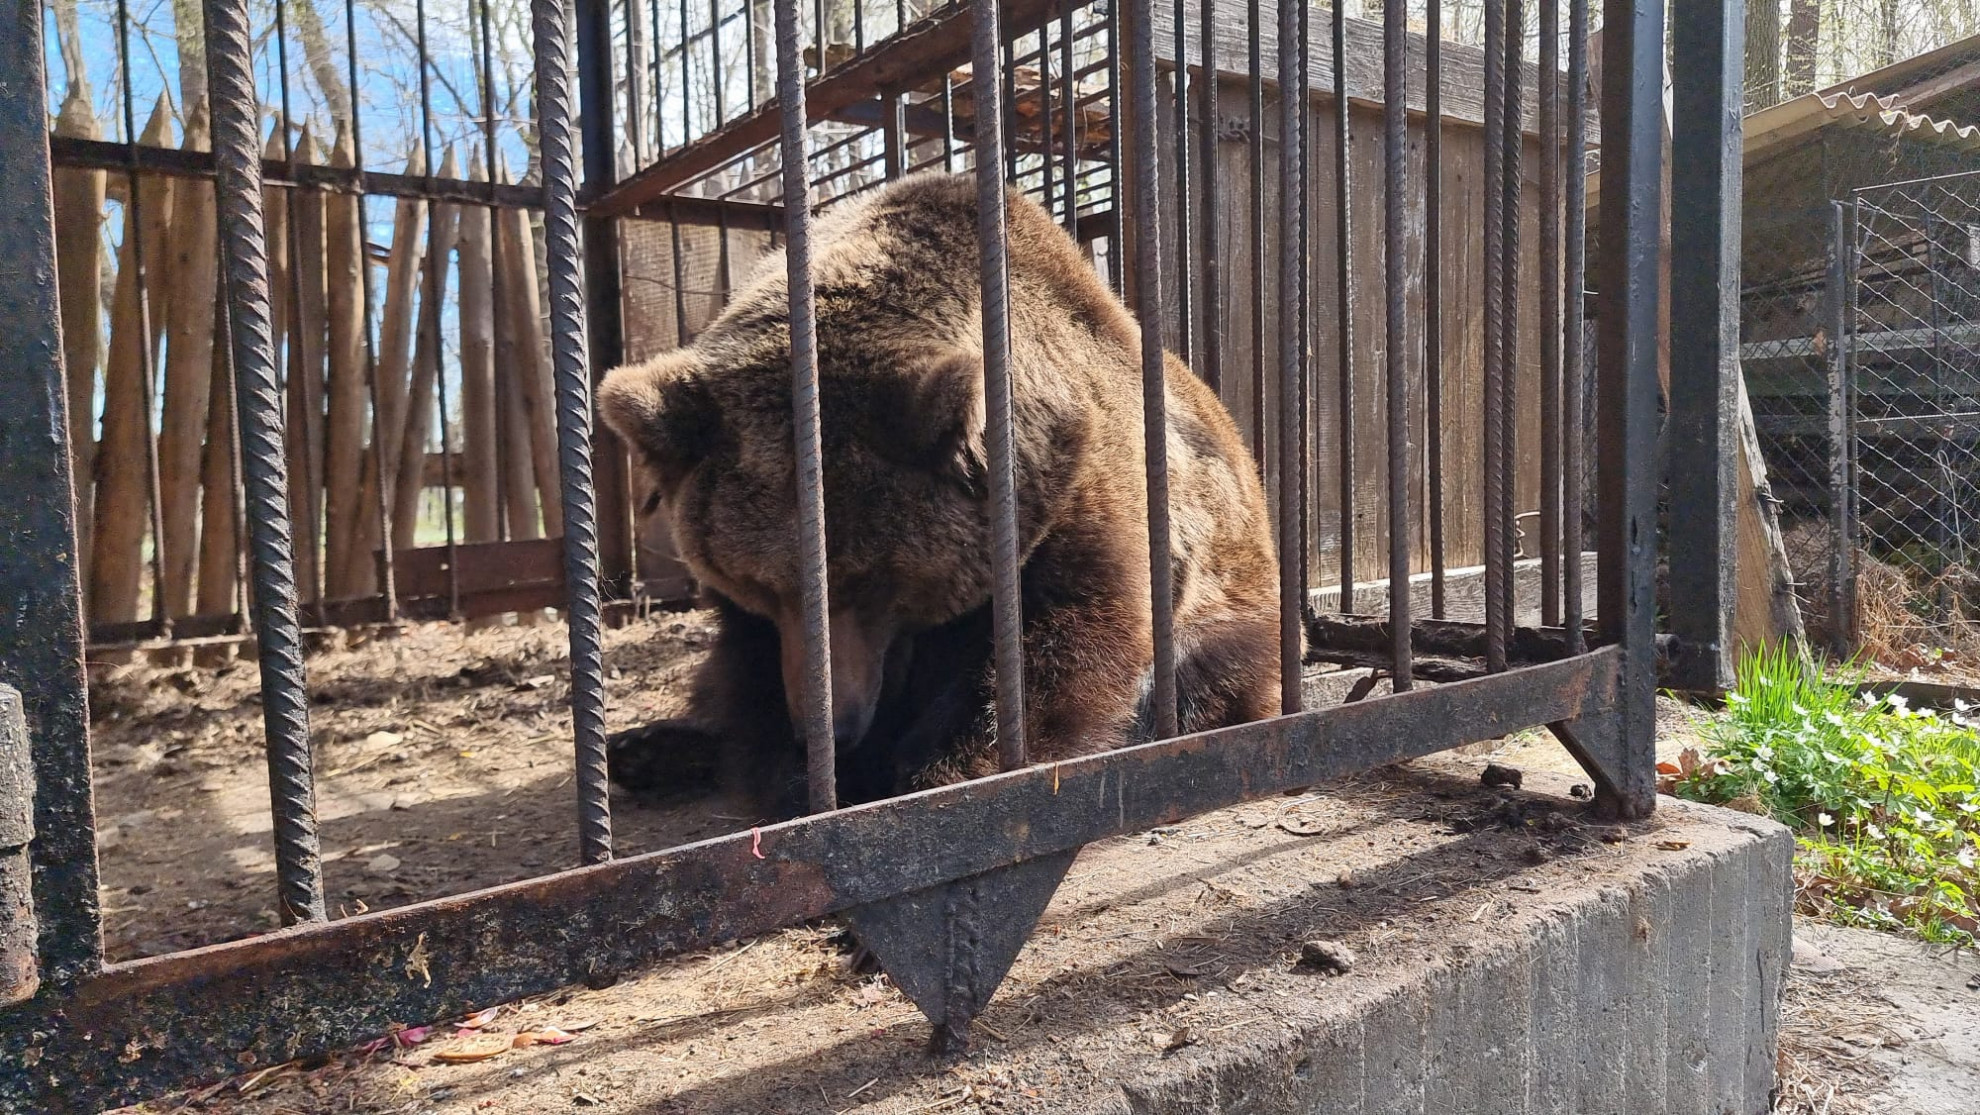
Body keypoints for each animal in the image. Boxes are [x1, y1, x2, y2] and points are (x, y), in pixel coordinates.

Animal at [594, 174, 1283, 819]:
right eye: (759, 584)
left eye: (872, 580)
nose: (830, 729)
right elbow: (748, 677)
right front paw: (799, 773)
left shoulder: (1080, 499)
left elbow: (1059, 648)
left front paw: (945, 770)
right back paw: (643, 749)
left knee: (1203, 672)